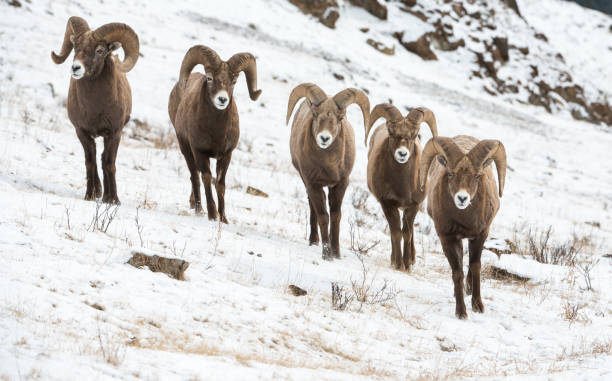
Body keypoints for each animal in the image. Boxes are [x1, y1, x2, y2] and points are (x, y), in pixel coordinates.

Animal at [50, 16, 139, 203]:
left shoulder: (114, 133)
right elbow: (90, 162)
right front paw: (90, 196)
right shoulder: (82, 133)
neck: (95, 109)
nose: (76, 68)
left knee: (104, 159)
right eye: (75, 47)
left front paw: (112, 200)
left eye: (99, 50)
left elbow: (109, 163)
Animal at [169, 44, 262, 223]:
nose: (222, 99)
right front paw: (212, 215)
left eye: (234, 82)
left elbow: (220, 184)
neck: (216, 132)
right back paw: (199, 209)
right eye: (210, 78)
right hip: (186, 149)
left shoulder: (226, 156)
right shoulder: (200, 152)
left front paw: (223, 218)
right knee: (195, 176)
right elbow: (206, 178)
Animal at [286, 82, 368, 262]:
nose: (324, 138)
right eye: (315, 114)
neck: (328, 165)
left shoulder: (340, 184)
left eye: (340, 118)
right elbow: (323, 216)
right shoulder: (313, 184)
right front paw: (327, 255)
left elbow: (336, 216)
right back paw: (314, 241)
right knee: (313, 208)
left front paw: (336, 254)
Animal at [366, 104, 438, 270]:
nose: (402, 154)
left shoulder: (413, 206)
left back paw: (412, 259)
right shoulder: (387, 204)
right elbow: (396, 233)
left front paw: (408, 264)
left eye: (414, 135)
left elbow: (407, 233)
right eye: (391, 132)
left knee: (410, 230)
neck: (402, 186)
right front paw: (398, 264)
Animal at [420, 135, 506, 316]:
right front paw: (461, 312)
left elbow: (475, 268)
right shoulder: (448, 239)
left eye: (478, 175)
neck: (464, 219)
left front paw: (478, 306)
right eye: (451, 173)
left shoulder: (480, 236)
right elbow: (457, 273)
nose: (462, 198)